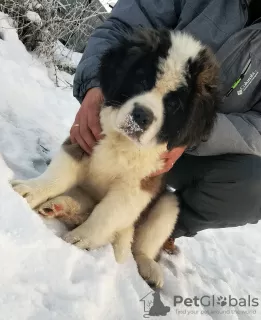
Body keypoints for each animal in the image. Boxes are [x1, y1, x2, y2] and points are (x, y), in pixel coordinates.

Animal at [11, 28, 218, 288]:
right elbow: (57, 176)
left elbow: (106, 214)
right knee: (84, 203)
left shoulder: (138, 187)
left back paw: (148, 266)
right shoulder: (83, 139)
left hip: (168, 206)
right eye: (142, 81)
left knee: (138, 244)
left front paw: (81, 238)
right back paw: (59, 206)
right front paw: (30, 190)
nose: (141, 116)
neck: (123, 142)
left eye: (173, 104)